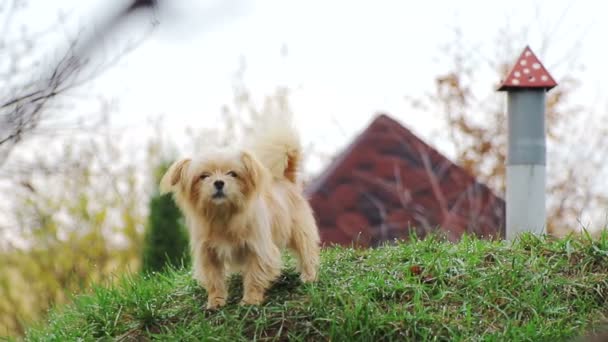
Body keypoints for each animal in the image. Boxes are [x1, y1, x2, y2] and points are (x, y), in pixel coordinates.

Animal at [162, 116, 320, 308]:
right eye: (204, 176)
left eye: (232, 174)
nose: (219, 183)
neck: (222, 215)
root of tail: (286, 179)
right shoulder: (208, 254)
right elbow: (214, 280)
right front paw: (215, 301)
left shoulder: (257, 249)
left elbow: (255, 276)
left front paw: (250, 300)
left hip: (299, 232)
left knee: (307, 252)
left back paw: (309, 276)